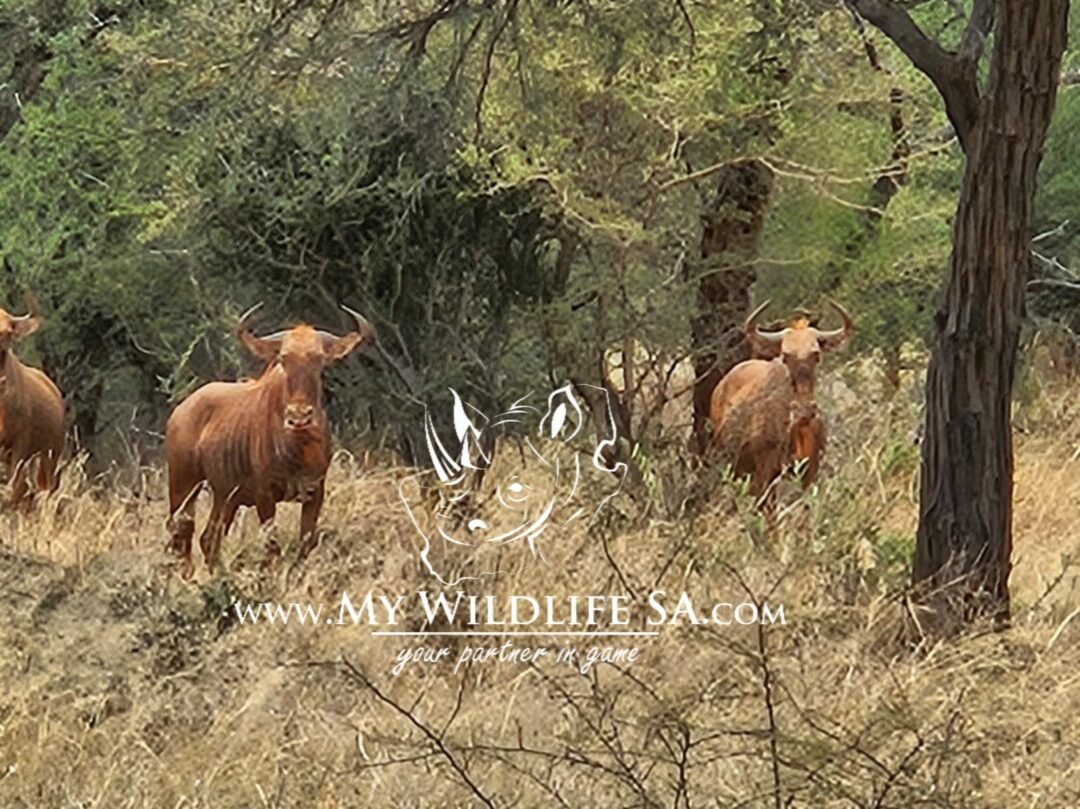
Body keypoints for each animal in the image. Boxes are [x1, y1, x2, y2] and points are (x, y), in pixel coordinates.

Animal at [165, 303, 374, 579]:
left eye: (319, 358)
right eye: (284, 358)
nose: (299, 417)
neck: (298, 446)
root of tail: (180, 410)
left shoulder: (315, 493)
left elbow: (305, 544)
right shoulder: (265, 496)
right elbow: (272, 547)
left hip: (224, 497)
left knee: (208, 539)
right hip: (183, 486)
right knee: (179, 535)